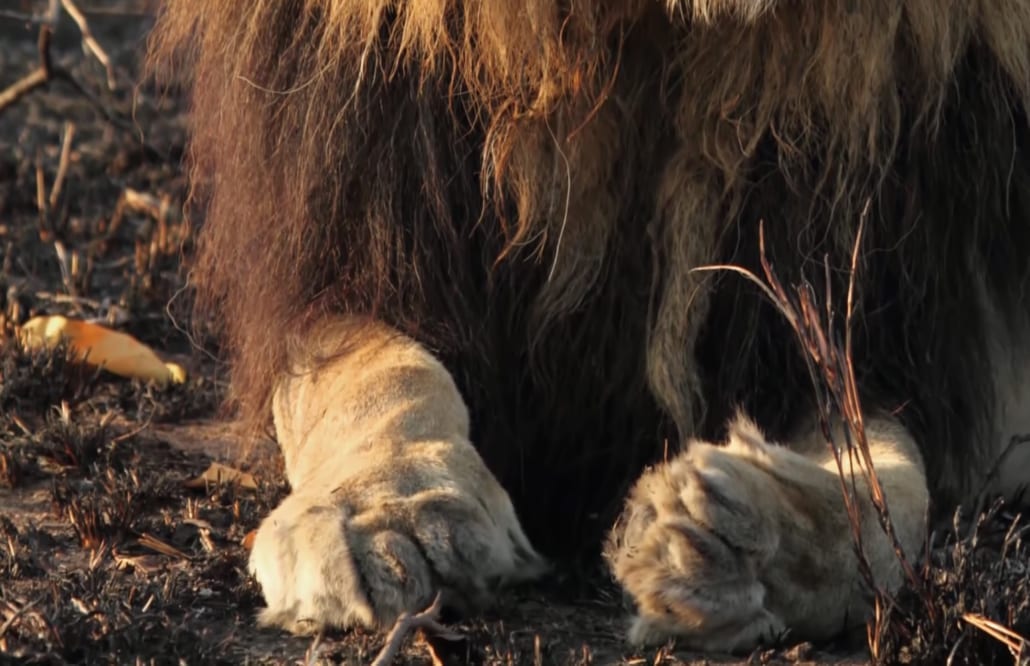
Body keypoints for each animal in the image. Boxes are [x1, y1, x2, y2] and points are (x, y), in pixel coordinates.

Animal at [148, 0, 1030, 653]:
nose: (390, 514)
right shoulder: (351, 251)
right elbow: (376, 377)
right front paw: (388, 511)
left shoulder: (875, 330)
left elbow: (887, 504)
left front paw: (728, 533)